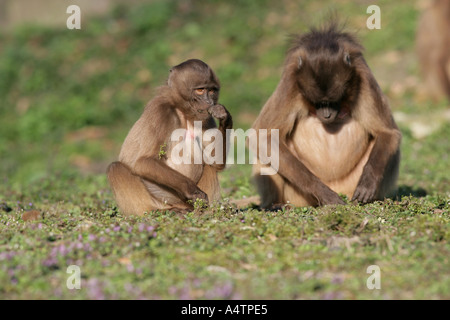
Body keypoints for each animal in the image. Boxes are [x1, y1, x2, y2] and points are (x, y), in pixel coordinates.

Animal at [106, 59, 232, 216]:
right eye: (200, 90)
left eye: (212, 91)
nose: (210, 103)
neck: (182, 111)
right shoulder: (160, 111)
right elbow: (142, 162)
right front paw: (193, 190)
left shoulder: (205, 117)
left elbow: (215, 162)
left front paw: (224, 115)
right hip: (165, 199)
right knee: (115, 167)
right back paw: (156, 212)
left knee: (209, 165)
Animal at [251, 22, 402, 208]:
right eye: (319, 104)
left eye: (333, 102)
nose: (327, 115)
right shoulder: (290, 81)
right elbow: (262, 135)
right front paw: (321, 191)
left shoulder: (363, 76)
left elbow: (388, 133)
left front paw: (368, 182)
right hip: (298, 197)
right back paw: (274, 205)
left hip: (349, 186)